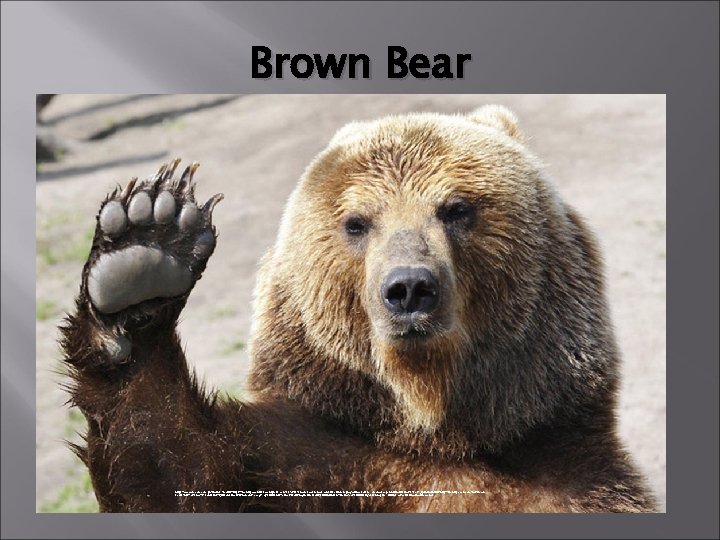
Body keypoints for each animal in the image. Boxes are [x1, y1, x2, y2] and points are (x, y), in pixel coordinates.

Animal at [61, 105, 656, 512]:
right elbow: (172, 470)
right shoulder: (306, 461)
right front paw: (145, 248)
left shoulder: (574, 482)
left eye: (457, 208)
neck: (433, 430)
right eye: (356, 222)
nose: (410, 288)